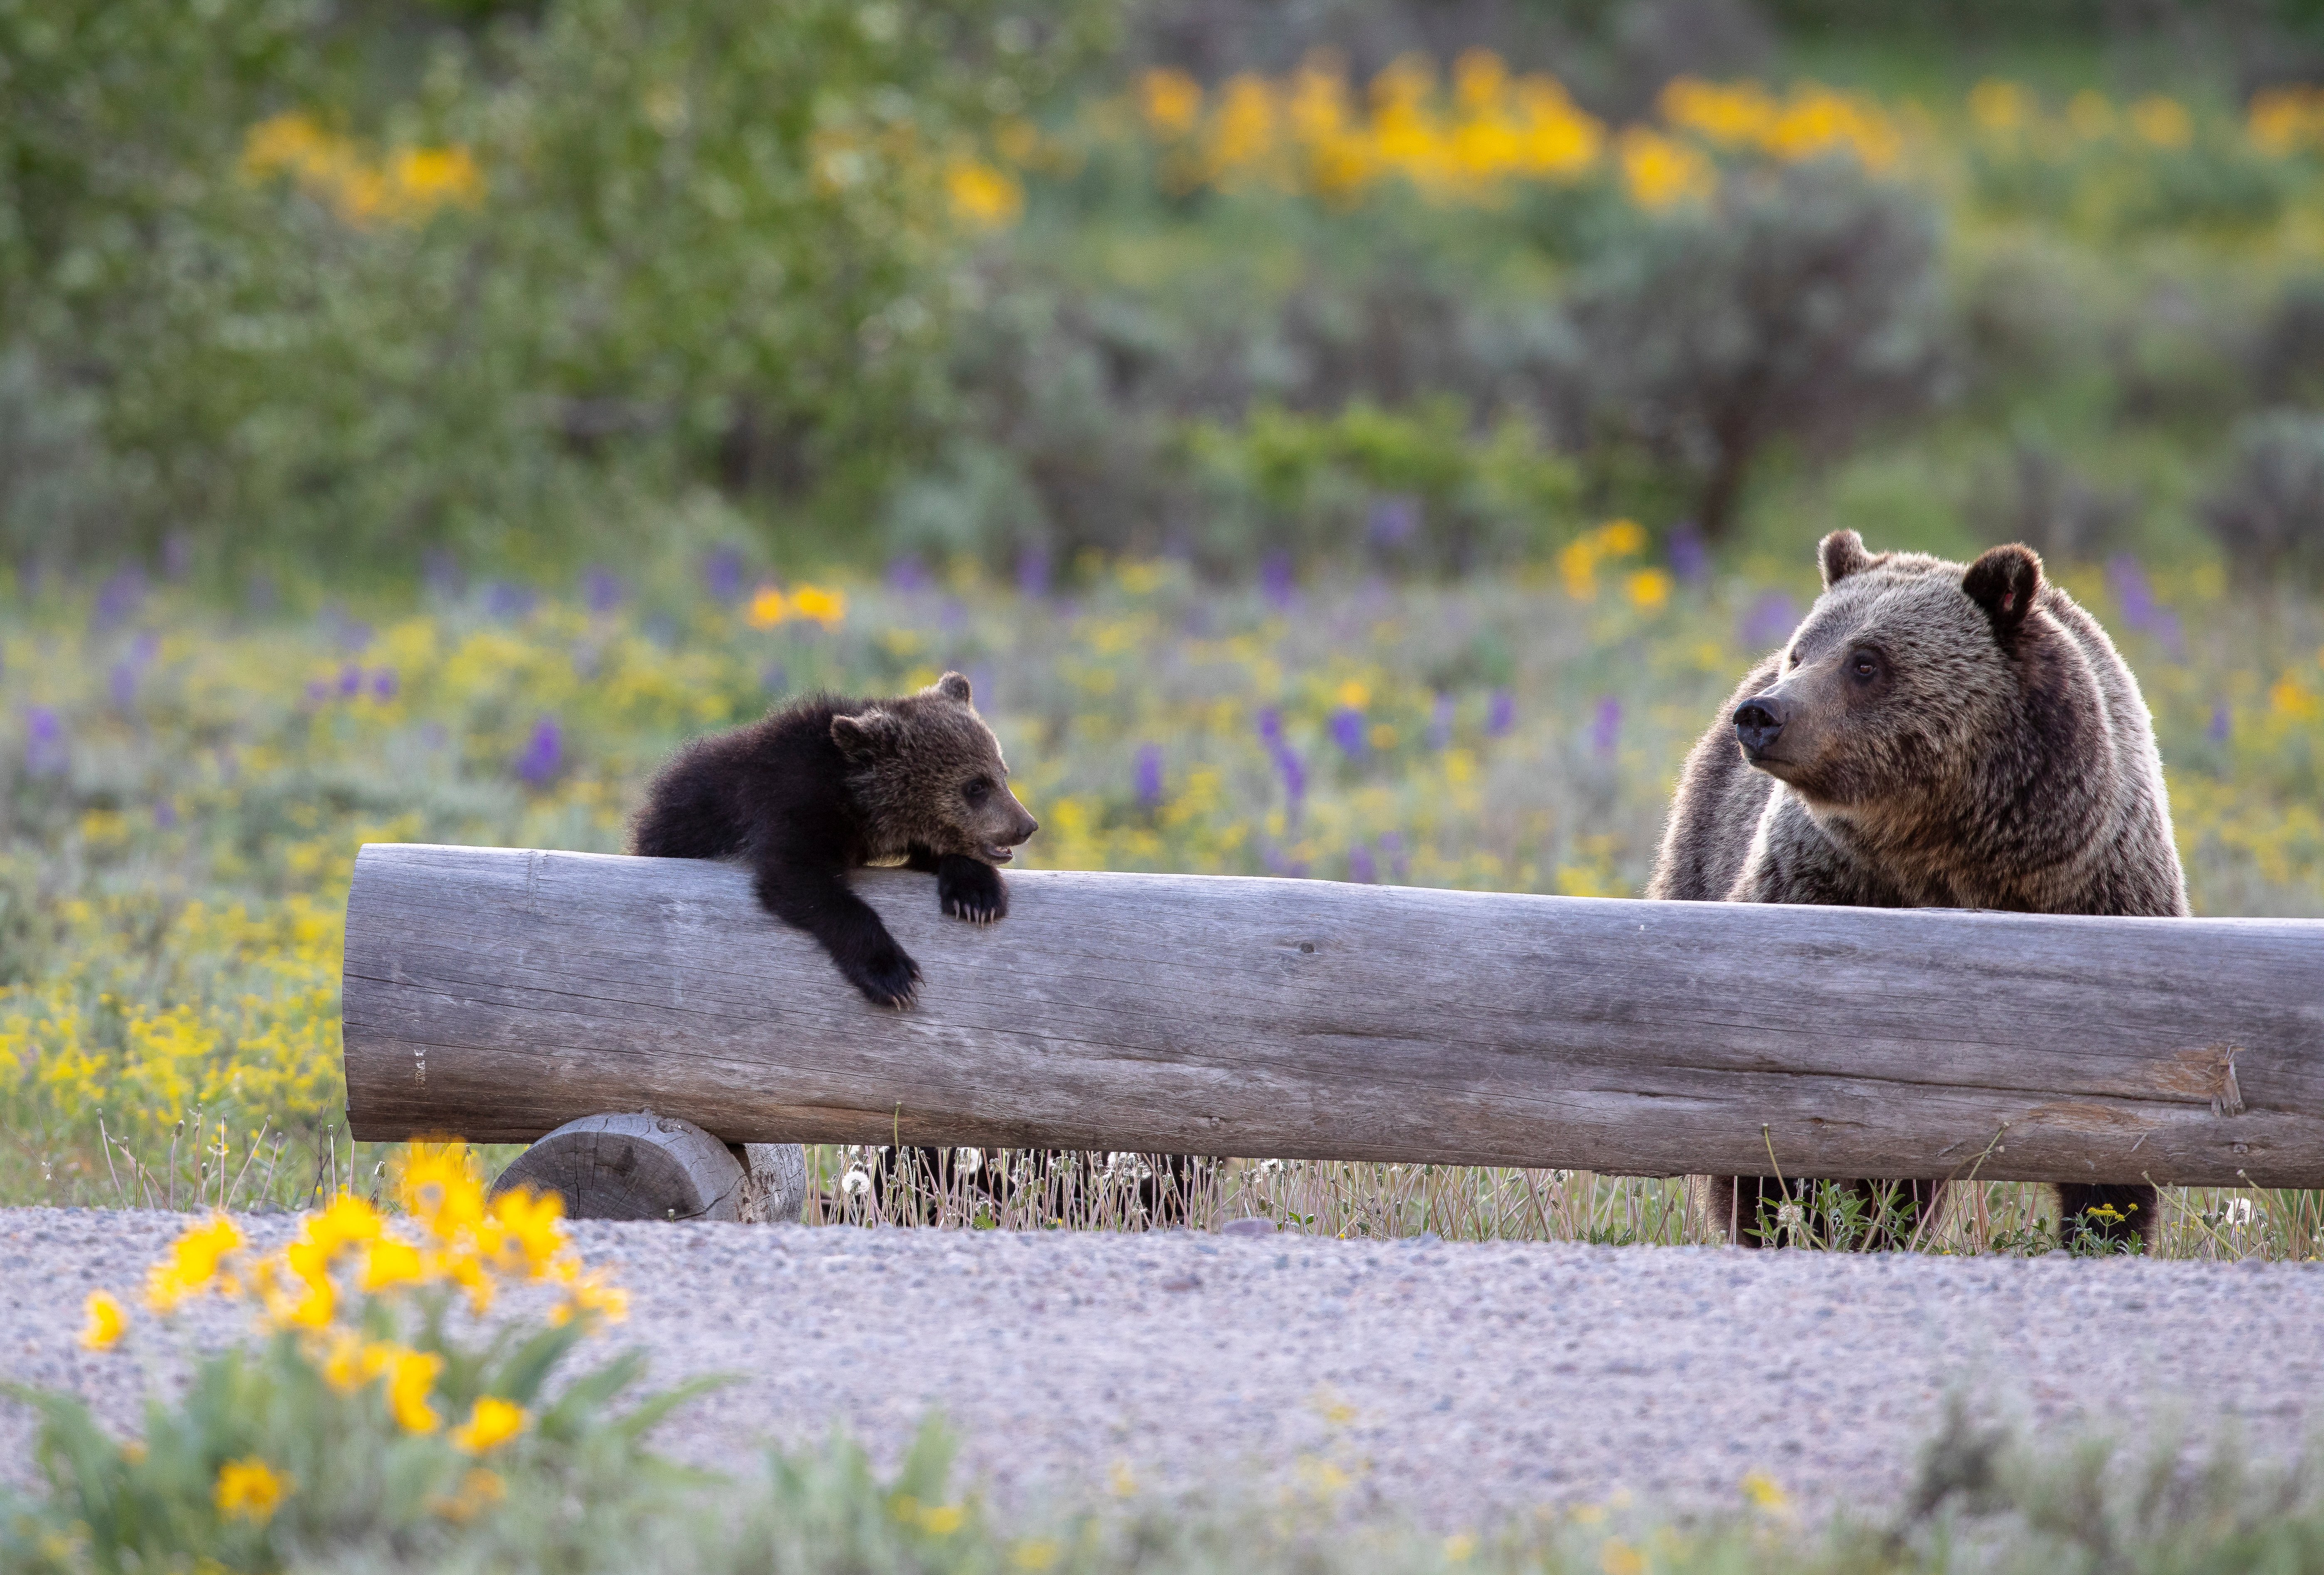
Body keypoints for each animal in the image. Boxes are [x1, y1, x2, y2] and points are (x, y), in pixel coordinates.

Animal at [1645, 539, 2185, 1254]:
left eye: (1865, 661)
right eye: (1802, 651)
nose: (1761, 715)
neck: (1938, 845)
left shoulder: (2096, 891)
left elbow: (2116, 1145)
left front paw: (2101, 1232)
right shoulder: (1820, 882)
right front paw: (1788, 1219)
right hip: (1699, 849)